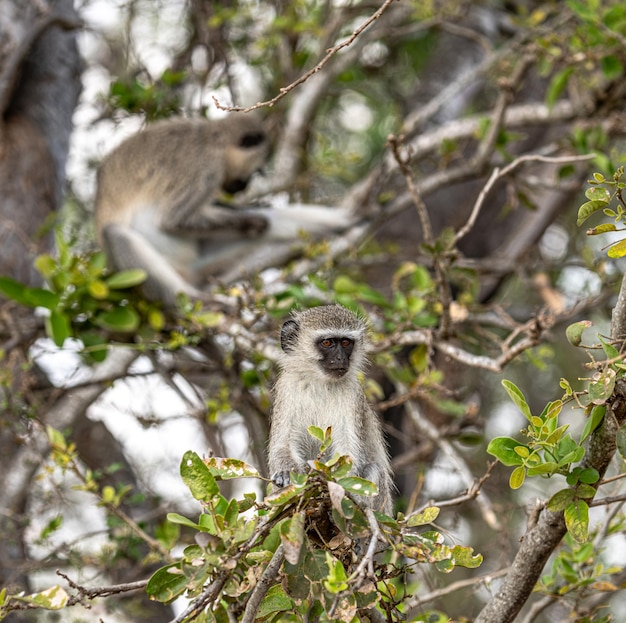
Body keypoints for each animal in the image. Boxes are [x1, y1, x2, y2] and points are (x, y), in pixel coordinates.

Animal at [95, 114, 354, 308]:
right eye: (257, 170)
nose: (244, 186)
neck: (213, 137)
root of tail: (185, 274)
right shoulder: (206, 166)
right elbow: (173, 220)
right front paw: (252, 221)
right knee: (115, 234)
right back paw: (194, 301)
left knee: (274, 220)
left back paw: (344, 221)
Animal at [266, 304, 390, 516]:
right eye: (327, 342)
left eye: (346, 342)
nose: (340, 358)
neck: (320, 383)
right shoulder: (287, 388)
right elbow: (282, 444)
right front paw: (285, 473)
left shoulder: (353, 395)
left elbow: (348, 450)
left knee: (374, 469)